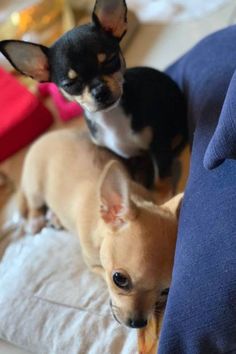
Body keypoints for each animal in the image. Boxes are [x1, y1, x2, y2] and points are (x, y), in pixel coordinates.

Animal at [0, 0, 188, 188]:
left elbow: (161, 180)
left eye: (111, 60)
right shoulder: (121, 156)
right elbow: (128, 177)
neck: (111, 117)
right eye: (70, 84)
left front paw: (160, 194)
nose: (100, 91)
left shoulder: (159, 146)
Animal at [18, 129, 183, 330]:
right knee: (34, 203)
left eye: (166, 291)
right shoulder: (93, 264)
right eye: (119, 279)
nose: (138, 323)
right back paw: (36, 220)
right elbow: (102, 272)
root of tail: (47, 136)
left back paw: (54, 217)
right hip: (35, 187)